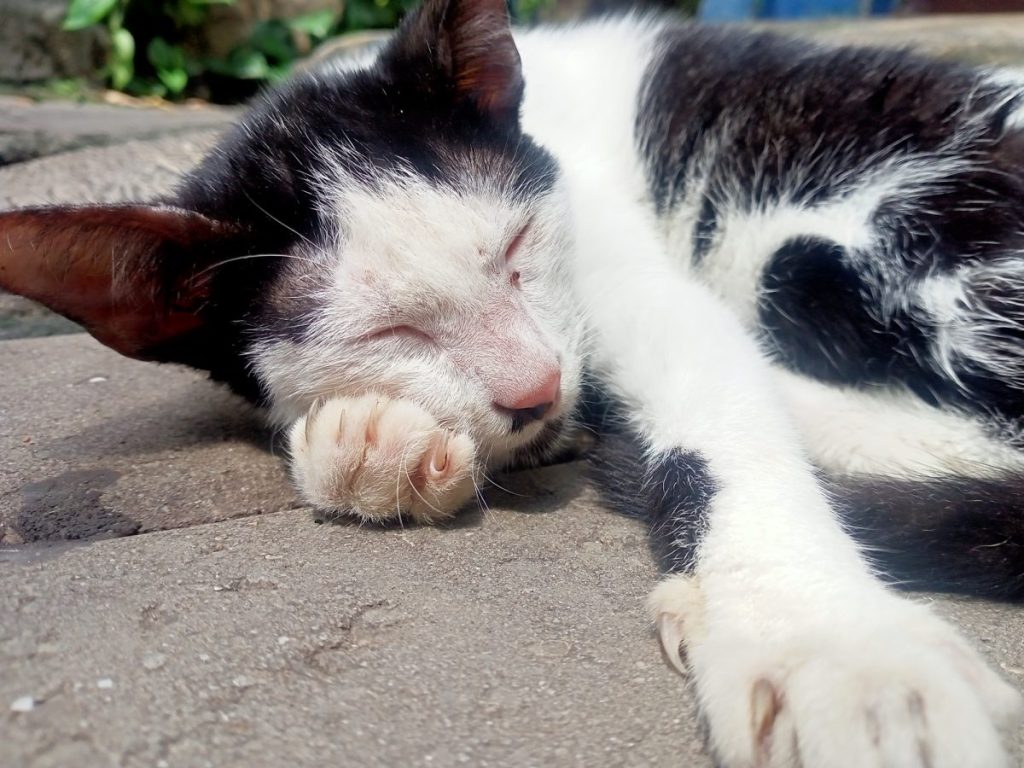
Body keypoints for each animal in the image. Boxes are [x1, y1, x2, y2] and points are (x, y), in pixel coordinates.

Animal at [2, 0, 1024, 765]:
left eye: (519, 246)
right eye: (390, 331)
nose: (537, 387)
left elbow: (710, 387)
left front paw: (828, 640)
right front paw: (376, 438)